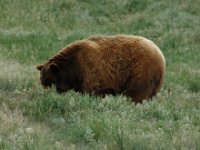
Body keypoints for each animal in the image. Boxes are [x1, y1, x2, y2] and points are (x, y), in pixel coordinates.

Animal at [36, 34, 166, 103]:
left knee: (138, 93)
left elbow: (92, 90)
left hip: (141, 72)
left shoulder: (90, 68)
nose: (45, 92)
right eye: (42, 80)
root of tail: (160, 55)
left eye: (47, 80)